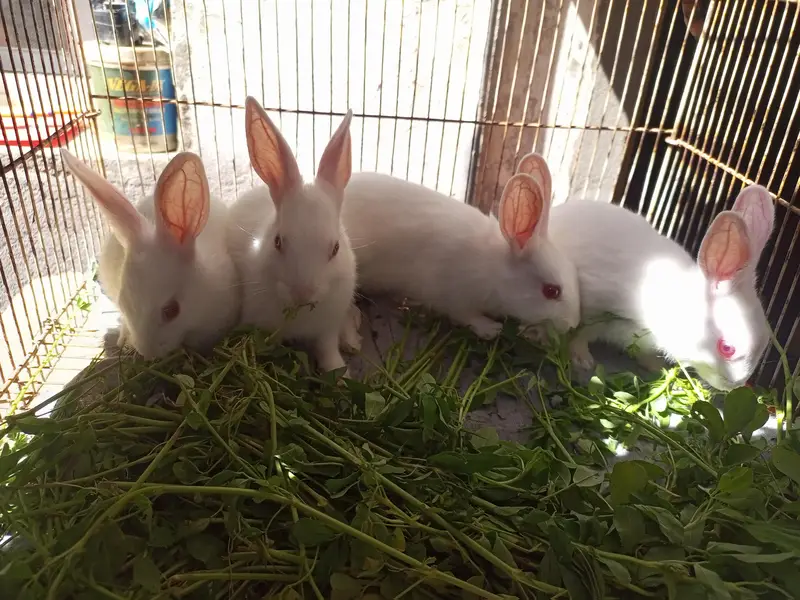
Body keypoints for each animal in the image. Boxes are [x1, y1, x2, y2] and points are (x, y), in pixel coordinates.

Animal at [227, 97, 360, 373]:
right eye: (278, 242)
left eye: (335, 248)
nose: (303, 294)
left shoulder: (327, 329)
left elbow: (329, 352)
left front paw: (340, 374)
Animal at [340, 171, 581, 340]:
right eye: (551, 291)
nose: (572, 324)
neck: (492, 270)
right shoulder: (454, 296)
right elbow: (465, 316)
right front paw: (491, 328)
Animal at [516, 152, 775, 390]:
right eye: (727, 348)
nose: (736, 384)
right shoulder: (592, 307)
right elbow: (578, 333)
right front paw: (582, 359)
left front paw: (655, 366)